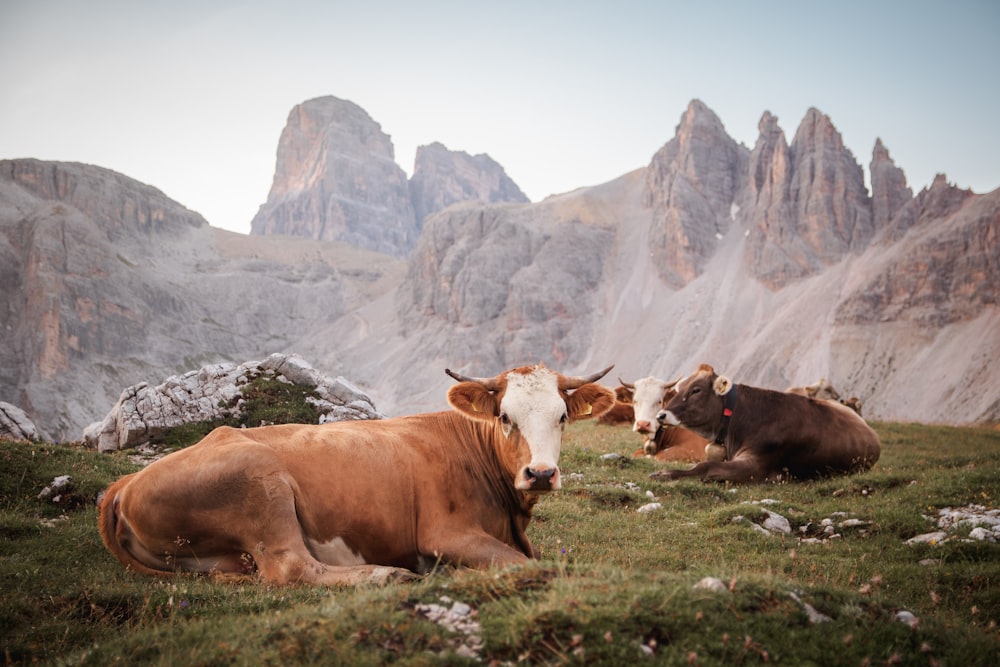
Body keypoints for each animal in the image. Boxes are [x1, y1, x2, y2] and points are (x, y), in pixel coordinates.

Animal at [99, 362, 616, 588]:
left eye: (562, 417)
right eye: (506, 417)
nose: (541, 473)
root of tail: (121, 487)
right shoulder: (445, 533)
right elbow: (526, 564)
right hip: (260, 482)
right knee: (290, 566)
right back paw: (386, 575)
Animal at [652, 366, 880, 486]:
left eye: (696, 390)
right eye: (680, 387)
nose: (661, 415)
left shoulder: (757, 465)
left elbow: (706, 467)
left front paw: (665, 474)